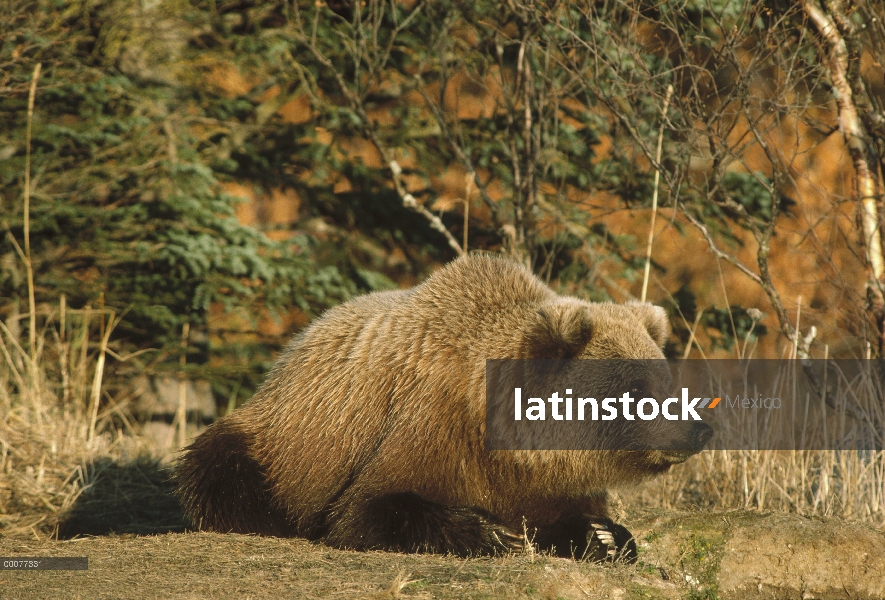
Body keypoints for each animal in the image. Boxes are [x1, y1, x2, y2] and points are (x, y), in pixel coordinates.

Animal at [176, 254, 716, 564]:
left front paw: (604, 536)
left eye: (666, 382)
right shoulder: (430, 427)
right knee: (223, 469)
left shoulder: (541, 478)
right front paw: (495, 535)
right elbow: (369, 508)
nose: (698, 429)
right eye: (638, 390)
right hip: (280, 440)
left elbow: (571, 514)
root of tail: (296, 344)